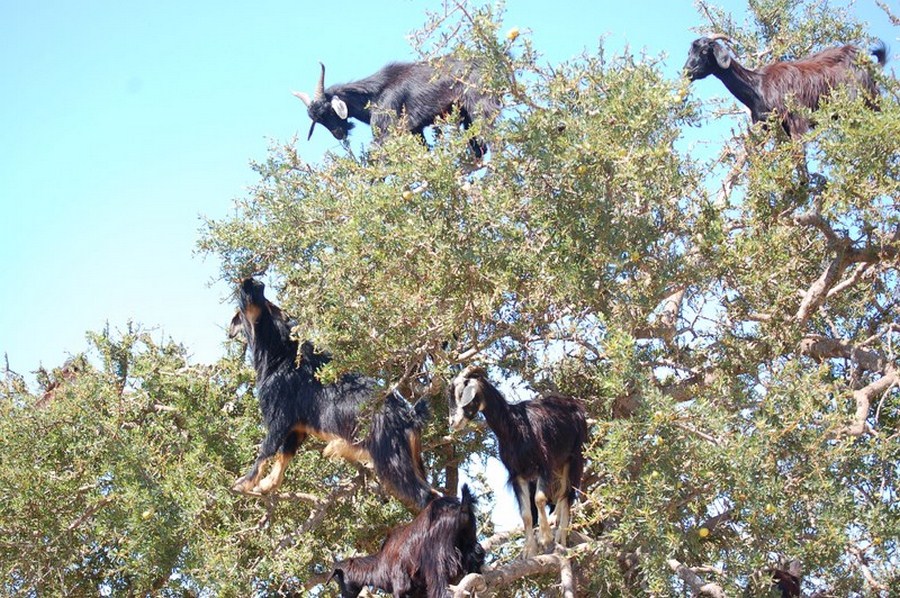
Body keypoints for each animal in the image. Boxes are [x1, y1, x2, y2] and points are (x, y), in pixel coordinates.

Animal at [227, 280, 434, 510]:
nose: (250, 282)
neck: (280, 354)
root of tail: (409, 416)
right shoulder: (297, 428)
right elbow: (283, 456)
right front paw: (266, 485)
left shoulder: (278, 420)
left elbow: (265, 452)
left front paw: (243, 484)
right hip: (410, 460)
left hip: (391, 458)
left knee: (426, 496)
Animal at [294, 59, 500, 158]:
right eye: (317, 121)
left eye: (328, 110)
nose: (338, 133)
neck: (374, 95)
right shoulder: (415, 130)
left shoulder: (387, 132)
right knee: (480, 147)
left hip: (480, 106)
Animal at [328, 486, 486, 596]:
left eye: (338, 579)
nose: (344, 595)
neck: (380, 563)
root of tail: (461, 510)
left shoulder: (400, 584)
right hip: (472, 552)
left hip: (437, 563)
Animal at [450, 368, 592, 560]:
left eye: (462, 393)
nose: (453, 422)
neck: (515, 426)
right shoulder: (517, 474)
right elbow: (525, 514)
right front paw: (528, 551)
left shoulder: (544, 465)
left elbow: (539, 499)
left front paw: (545, 538)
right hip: (560, 464)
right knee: (562, 495)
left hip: (575, 458)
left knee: (567, 495)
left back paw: (561, 539)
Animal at [684, 34, 888, 138]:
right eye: (690, 51)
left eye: (705, 51)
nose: (687, 71)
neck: (756, 86)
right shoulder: (770, 125)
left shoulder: (796, 119)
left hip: (863, 100)